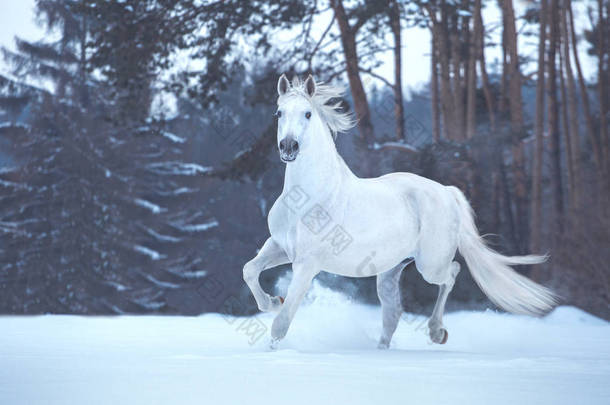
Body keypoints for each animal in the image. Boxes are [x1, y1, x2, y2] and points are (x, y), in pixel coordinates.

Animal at [242, 74, 556, 348]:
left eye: (307, 114)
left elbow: (281, 324)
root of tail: (446, 192)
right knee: (393, 313)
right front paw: (273, 301)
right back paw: (384, 350)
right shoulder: (280, 247)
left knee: (451, 274)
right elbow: (249, 271)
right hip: (390, 271)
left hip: (430, 265)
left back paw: (437, 332)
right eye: (279, 113)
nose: (289, 147)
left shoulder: (307, 264)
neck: (309, 198)